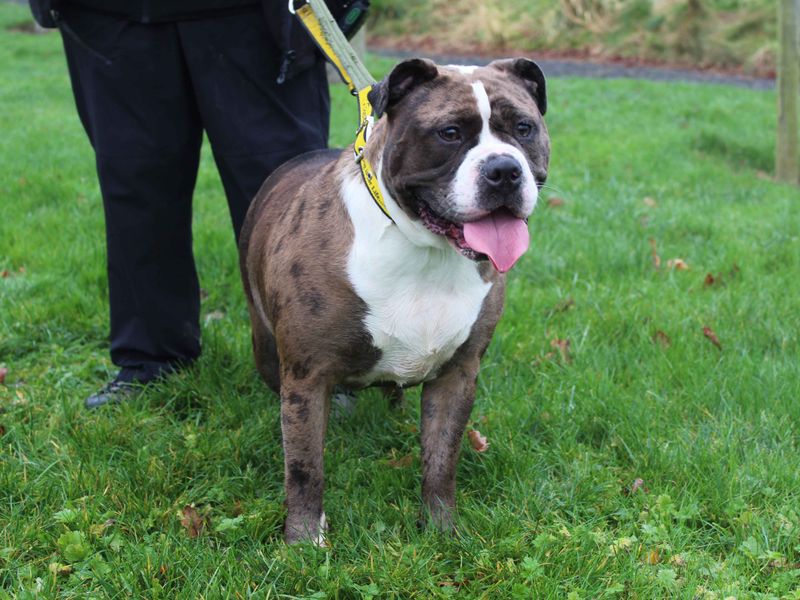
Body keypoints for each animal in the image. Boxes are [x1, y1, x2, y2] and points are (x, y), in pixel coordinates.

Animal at [239, 57, 552, 544]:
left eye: (524, 128)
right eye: (449, 133)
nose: (504, 170)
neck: (426, 250)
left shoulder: (457, 374)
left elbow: (442, 458)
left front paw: (442, 529)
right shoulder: (306, 378)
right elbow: (305, 467)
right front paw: (304, 541)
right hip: (269, 352)